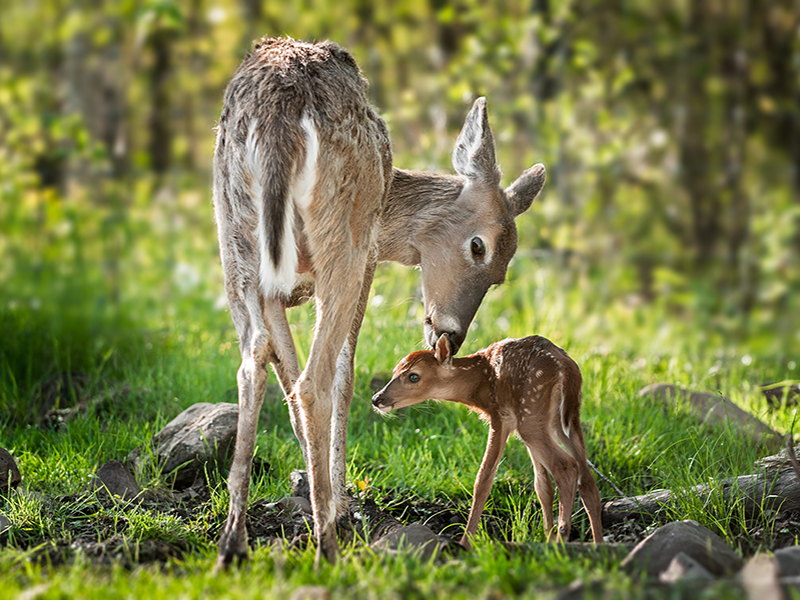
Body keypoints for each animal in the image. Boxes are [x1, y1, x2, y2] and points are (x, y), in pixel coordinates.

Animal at [212, 37, 546, 569]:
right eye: (480, 247)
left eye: (501, 276)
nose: (451, 334)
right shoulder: (368, 257)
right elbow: (344, 374)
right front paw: (339, 503)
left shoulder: (276, 291)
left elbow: (281, 371)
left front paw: (313, 489)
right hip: (343, 239)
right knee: (316, 379)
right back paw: (327, 545)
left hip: (234, 234)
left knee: (253, 362)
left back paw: (232, 543)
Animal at [372, 334, 603, 550]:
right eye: (394, 371)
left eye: (413, 376)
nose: (377, 398)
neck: (478, 386)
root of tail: (566, 368)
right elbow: (542, 485)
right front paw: (546, 535)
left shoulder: (500, 416)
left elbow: (483, 479)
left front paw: (466, 543)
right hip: (565, 418)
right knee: (586, 479)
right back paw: (597, 543)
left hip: (530, 413)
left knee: (566, 466)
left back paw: (562, 539)